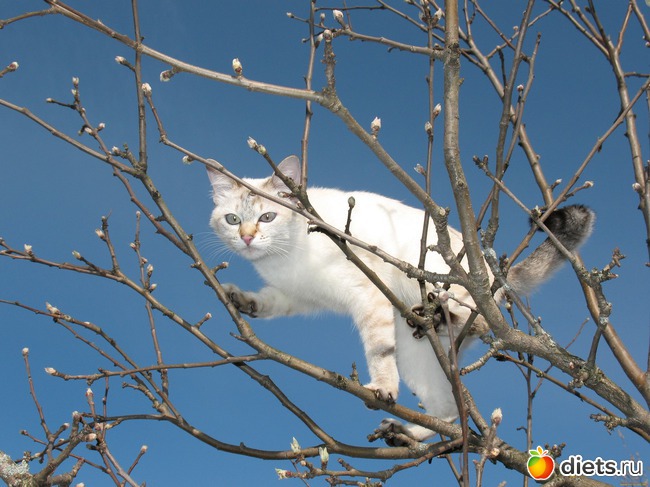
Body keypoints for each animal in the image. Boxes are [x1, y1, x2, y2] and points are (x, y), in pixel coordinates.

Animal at [207, 155, 595, 442]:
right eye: (232, 219)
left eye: (267, 216)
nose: (246, 238)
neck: (284, 257)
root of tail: (492, 269)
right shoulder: (297, 295)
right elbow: (268, 302)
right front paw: (241, 300)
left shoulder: (366, 294)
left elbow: (378, 353)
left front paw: (381, 389)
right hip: (416, 358)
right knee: (448, 411)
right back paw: (405, 431)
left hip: (451, 291)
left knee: (481, 322)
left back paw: (440, 318)